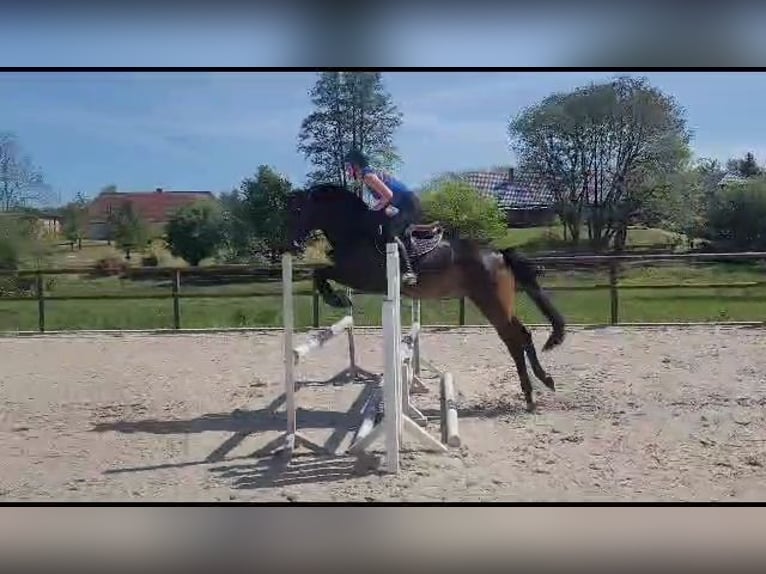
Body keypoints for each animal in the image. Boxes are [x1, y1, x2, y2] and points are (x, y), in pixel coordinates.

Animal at [284, 182, 568, 412]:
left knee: (513, 340)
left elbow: (321, 272)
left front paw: (336, 299)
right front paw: (339, 299)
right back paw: (545, 382)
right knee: (523, 335)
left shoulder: (360, 276)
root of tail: (498, 254)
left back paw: (530, 395)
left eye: (297, 210)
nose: (293, 244)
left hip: (492, 303)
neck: (355, 230)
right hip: (498, 303)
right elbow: (320, 271)